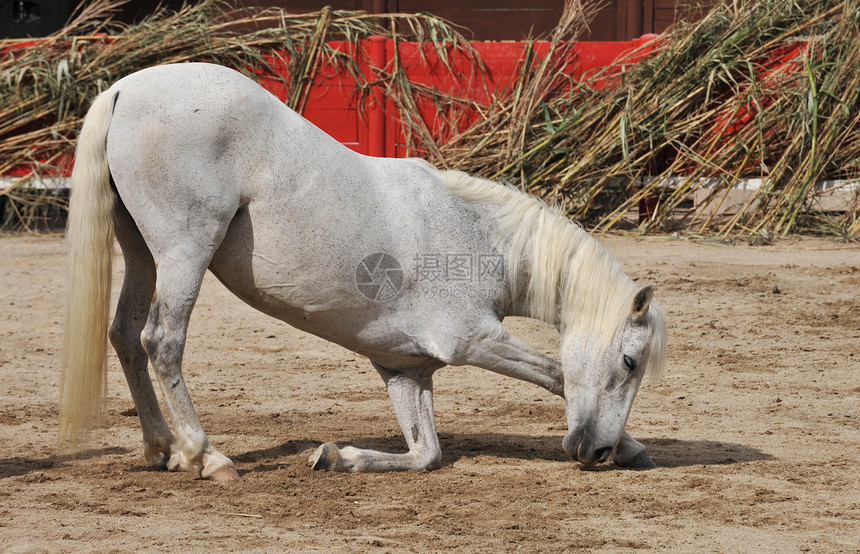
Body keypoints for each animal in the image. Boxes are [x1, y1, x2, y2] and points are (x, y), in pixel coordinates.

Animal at [60, 62, 664, 480]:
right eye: (630, 362)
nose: (596, 451)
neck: (477, 235)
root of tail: (124, 89)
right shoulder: (472, 340)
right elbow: (557, 375)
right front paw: (632, 445)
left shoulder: (404, 369)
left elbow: (425, 453)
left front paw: (337, 456)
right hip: (185, 252)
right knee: (161, 342)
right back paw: (208, 457)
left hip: (142, 252)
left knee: (126, 336)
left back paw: (161, 448)